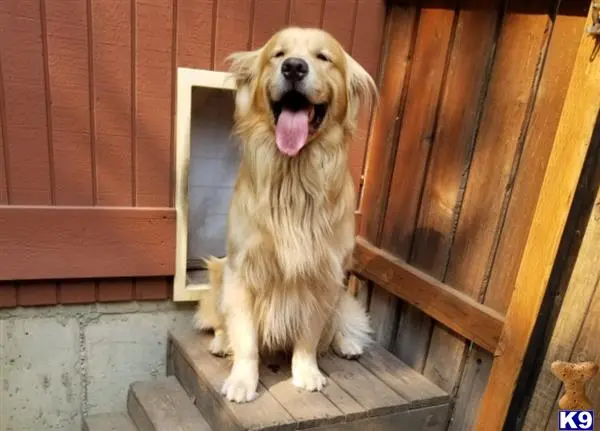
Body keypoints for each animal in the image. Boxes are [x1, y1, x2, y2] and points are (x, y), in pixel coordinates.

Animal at [195, 27, 378, 404]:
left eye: (324, 57)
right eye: (277, 54)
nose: (294, 67)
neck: (294, 178)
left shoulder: (323, 275)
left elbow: (309, 335)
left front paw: (306, 372)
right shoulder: (241, 270)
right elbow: (246, 339)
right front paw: (243, 380)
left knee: (340, 319)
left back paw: (348, 342)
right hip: (218, 272)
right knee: (220, 320)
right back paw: (220, 341)